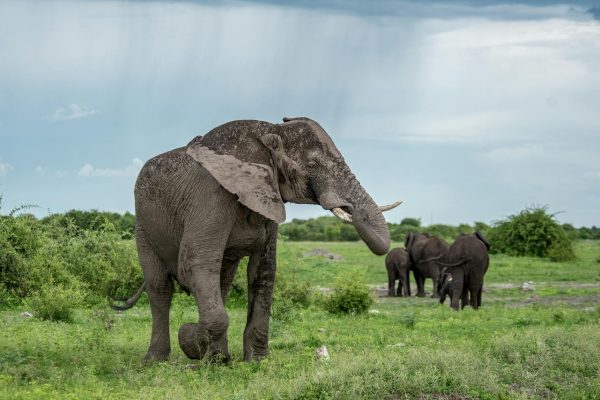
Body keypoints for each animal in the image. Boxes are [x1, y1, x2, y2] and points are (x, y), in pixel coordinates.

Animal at [110, 117, 400, 364]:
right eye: (312, 166)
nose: (351, 208)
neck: (267, 133)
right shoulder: (210, 198)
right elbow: (194, 263)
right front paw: (190, 339)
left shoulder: (268, 198)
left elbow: (263, 271)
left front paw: (255, 361)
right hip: (143, 226)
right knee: (160, 287)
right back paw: (157, 360)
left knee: (221, 282)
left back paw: (218, 359)